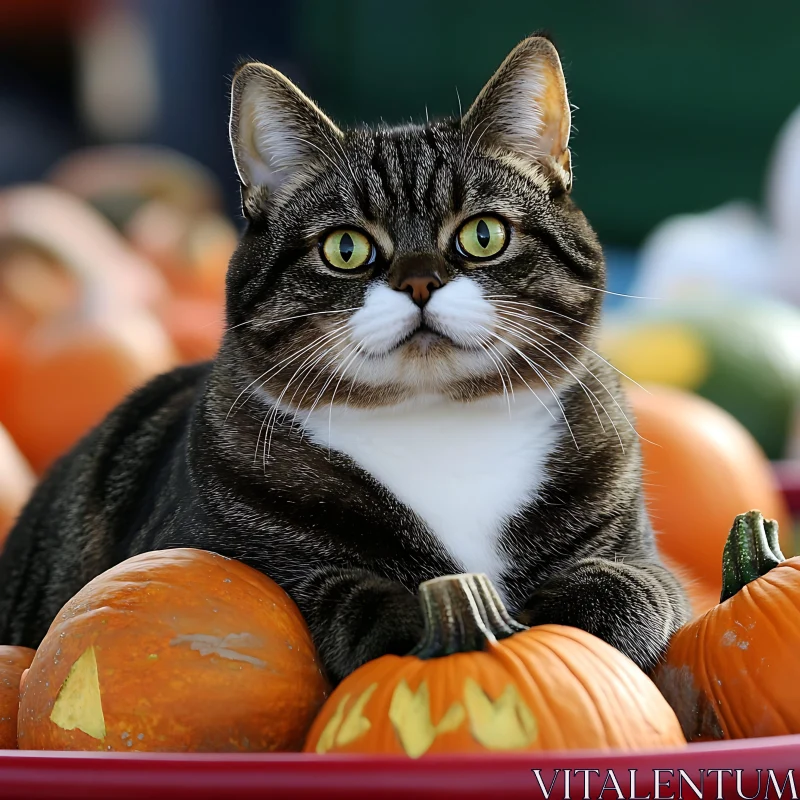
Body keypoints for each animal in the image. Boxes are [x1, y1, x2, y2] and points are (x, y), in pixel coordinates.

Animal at [0, 37, 688, 684]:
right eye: (346, 248)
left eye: (483, 234)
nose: (418, 281)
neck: (438, 426)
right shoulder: (193, 553)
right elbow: (313, 594)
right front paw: (421, 625)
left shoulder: (651, 564)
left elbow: (633, 590)